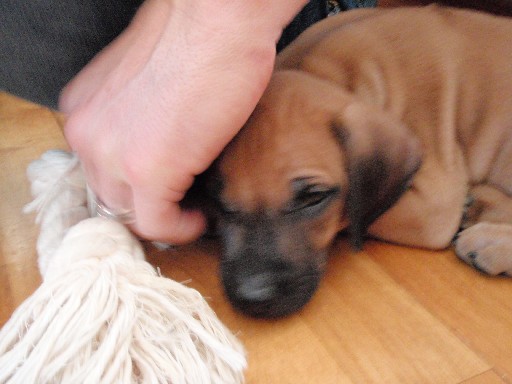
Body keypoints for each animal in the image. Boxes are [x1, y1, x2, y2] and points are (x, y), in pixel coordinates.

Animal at [207, 6, 512, 318]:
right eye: (218, 201)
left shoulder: (432, 208)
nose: (252, 297)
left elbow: (357, 214)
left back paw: (491, 241)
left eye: (314, 198)